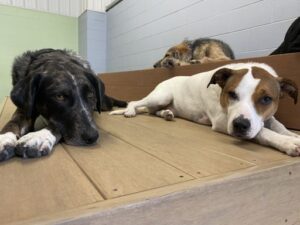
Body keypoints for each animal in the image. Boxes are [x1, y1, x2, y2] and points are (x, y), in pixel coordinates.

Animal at [110, 62, 300, 156]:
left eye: (266, 99)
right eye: (232, 94)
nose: (240, 125)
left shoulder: (264, 118)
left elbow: (277, 125)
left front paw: (291, 135)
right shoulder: (222, 121)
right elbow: (262, 132)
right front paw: (287, 142)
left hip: (163, 103)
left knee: (154, 111)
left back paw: (167, 114)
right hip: (161, 96)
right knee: (136, 102)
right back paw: (130, 111)